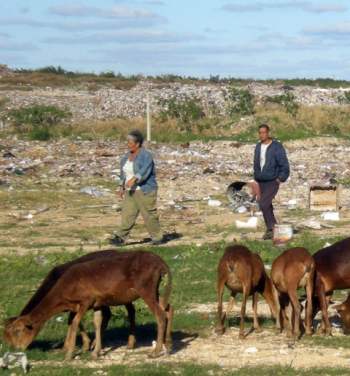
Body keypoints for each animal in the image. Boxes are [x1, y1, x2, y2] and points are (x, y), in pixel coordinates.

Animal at [2, 251, 172, 360]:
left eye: (18, 331)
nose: (16, 349)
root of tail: (161, 263)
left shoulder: (85, 301)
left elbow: (74, 322)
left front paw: (70, 352)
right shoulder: (96, 303)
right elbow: (95, 322)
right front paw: (94, 351)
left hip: (146, 288)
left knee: (159, 314)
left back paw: (155, 351)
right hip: (154, 289)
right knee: (168, 309)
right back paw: (168, 345)